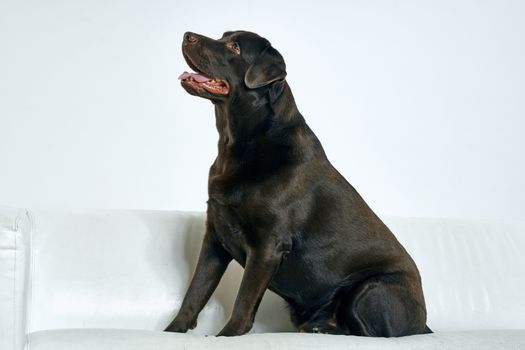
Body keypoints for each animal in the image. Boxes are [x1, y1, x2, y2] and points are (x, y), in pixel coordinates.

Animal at [165, 31, 430, 338]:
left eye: (235, 47)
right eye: (223, 36)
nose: (187, 35)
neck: (236, 141)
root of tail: (423, 325)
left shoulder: (268, 244)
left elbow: (243, 300)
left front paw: (226, 337)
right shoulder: (215, 236)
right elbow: (194, 293)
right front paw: (172, 332)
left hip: (371, 288)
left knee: (369, 333)